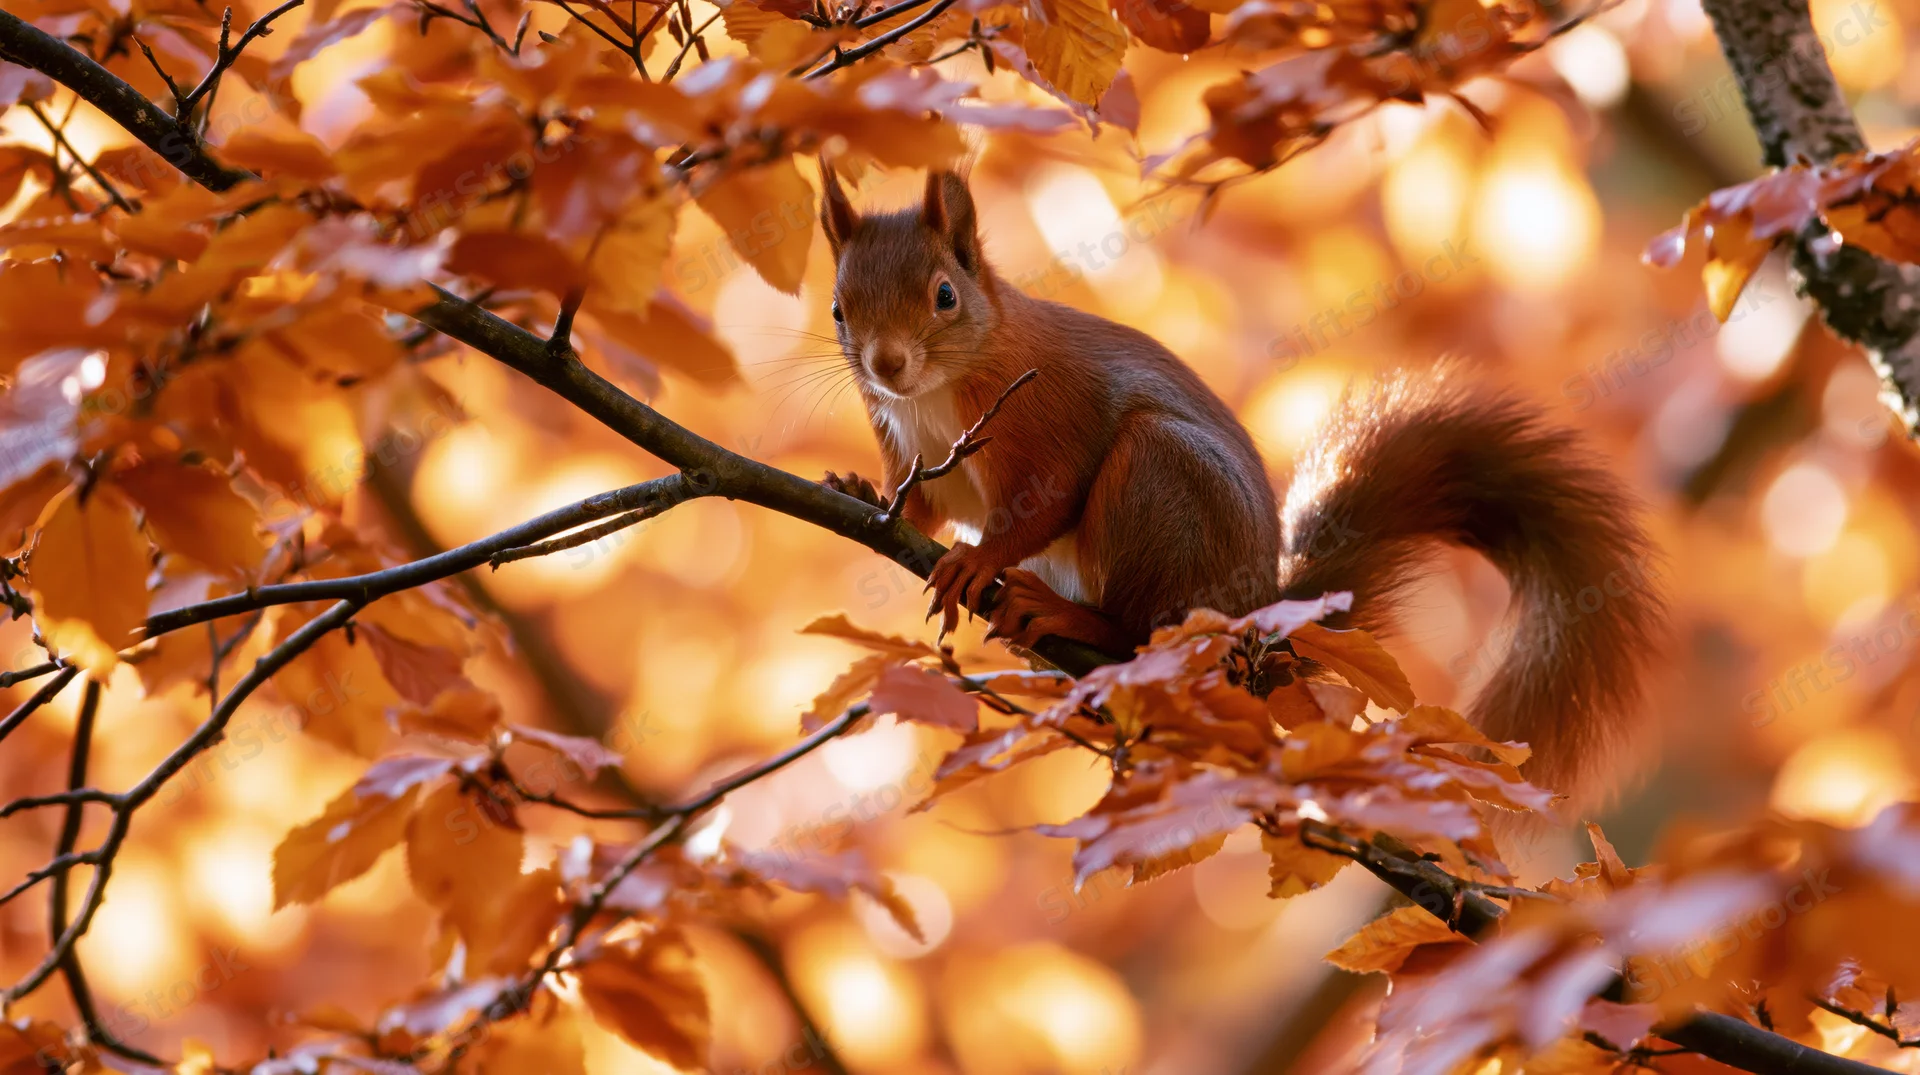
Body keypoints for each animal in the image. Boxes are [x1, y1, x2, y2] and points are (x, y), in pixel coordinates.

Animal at [815, 166, 1666, 800]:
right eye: (837, 309)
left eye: (945, 295)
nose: (888, 364)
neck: (930, 399)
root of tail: (1255, 626)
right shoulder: (913, 451)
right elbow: (920, 501)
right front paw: (861, 492)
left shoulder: (1047, 418)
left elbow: (1043, 500)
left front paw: (979, 559)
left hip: (1162, 481)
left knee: (1140, 625)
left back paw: (1067, 615)